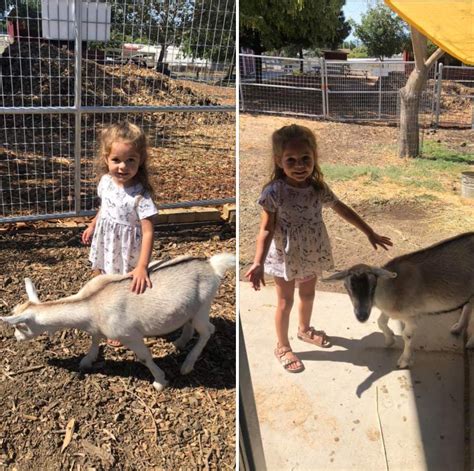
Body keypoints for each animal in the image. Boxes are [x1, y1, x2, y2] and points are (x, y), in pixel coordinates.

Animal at [0, 254, 235, 390]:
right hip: (191, 307)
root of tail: (212, 266)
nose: (16, 337)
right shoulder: (98, 327)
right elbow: (94, 339)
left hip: (204, 306)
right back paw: (180, 342)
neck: (92, 303)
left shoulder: (129, 334)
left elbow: (144, 357)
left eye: (20, 325)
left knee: (208, 330)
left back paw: (187, 365)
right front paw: (87, 361)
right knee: (190, 323)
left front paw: (160, 381)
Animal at [322, 232, 474, 368]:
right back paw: (458, 329)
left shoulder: (411, 316)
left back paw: (470, 343)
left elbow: (407, 335)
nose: (362, 316)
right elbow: (380, 322)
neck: (391, 289)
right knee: (468, 306)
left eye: (372, 285)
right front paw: (390, 340)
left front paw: (404, 361)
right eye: (347, 287)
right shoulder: (389, 310)